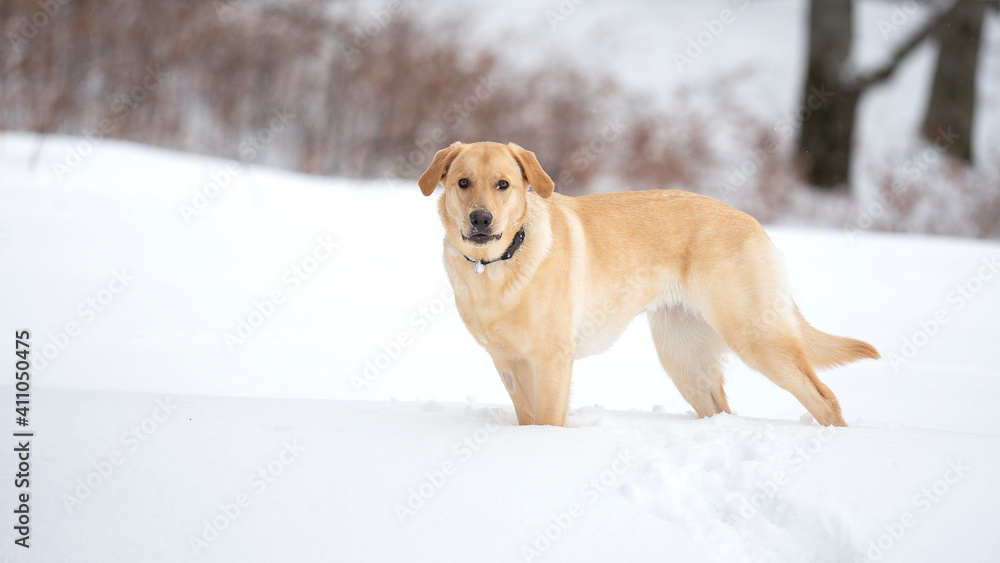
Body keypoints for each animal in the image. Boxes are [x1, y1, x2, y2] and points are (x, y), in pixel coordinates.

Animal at [418, 141, 880, 428]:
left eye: (503, 184)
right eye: (463, 183)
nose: (481, 219)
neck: (497, 266)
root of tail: (755, 225)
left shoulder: (552, 361)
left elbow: (548, 420)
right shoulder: (508, 363)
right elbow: (528, 418)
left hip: (758, 338)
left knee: (825, 398)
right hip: (685, 360)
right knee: (721, 411)